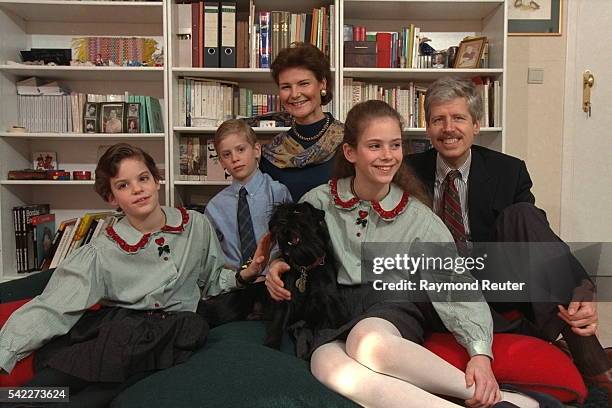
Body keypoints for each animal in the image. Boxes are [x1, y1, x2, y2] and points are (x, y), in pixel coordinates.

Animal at [264, 202, 350, 350]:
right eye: (278, 213)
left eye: (298, 212)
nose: (280, 221)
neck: (305, 267)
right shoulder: (286, 299)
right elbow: (277, 325)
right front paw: (271, 345)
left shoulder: (331, 298)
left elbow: (340, 321)